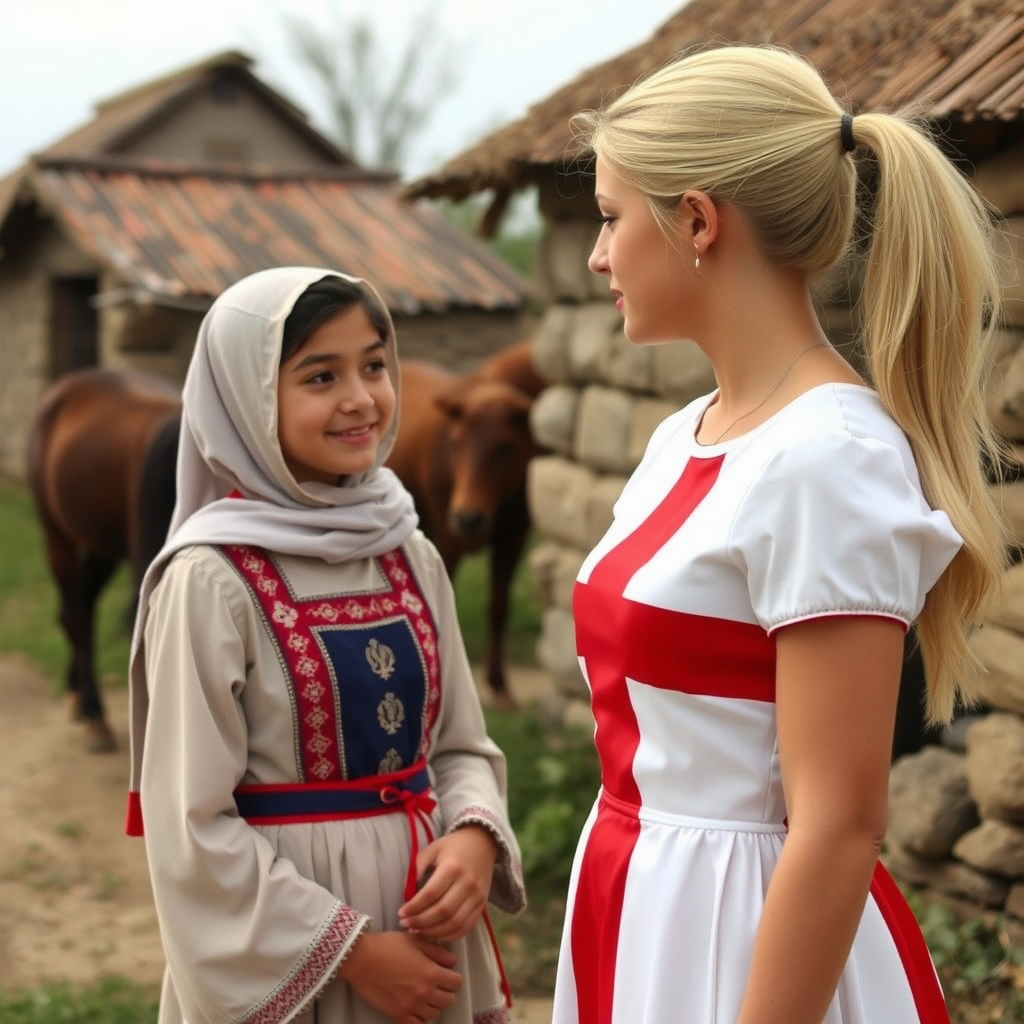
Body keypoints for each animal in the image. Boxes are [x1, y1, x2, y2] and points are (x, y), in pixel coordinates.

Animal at [25, 368, 182, 753]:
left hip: (103, 546)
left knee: (79, 606)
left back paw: (79, 697)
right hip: (58, 535)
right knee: (77, 614)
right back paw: (94, 714)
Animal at [385, 339, 548, 708]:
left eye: (506, 447)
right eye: (455, 442)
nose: (468, 517)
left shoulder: (513, 539)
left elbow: (498, 608)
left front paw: (498, 684)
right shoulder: (448, 540)